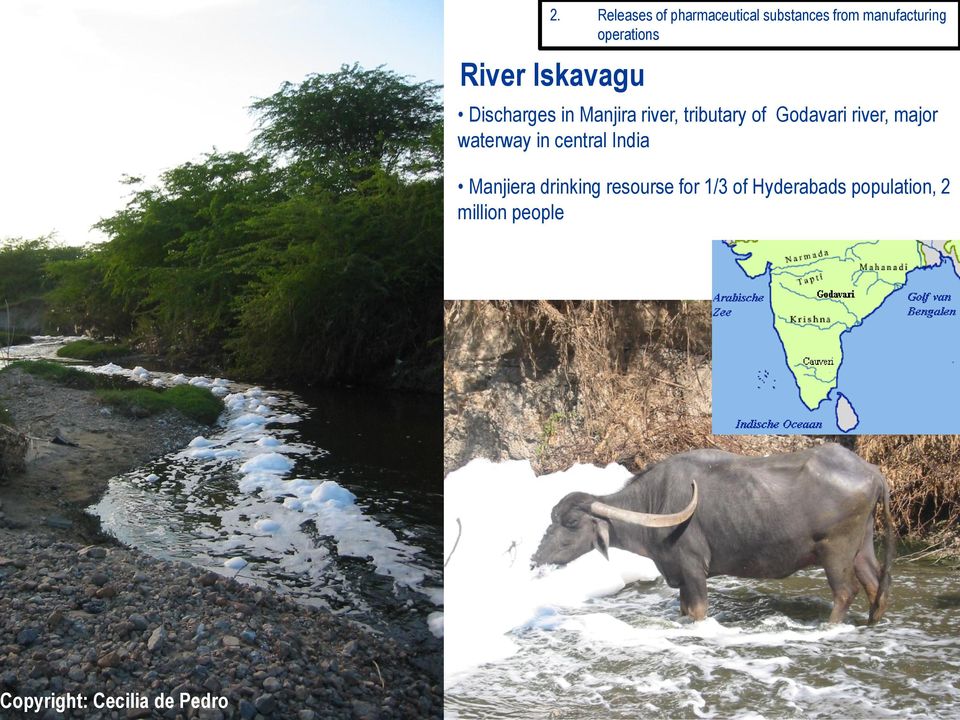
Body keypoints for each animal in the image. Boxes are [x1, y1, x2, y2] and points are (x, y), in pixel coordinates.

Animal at [532, 444, 892, 624]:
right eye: (552, 518)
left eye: (572, 523)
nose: (536, 558)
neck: (656, 503)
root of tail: (872, 472)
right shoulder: (678, 575)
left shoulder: (693, 568)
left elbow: (698, 611)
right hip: (862, 548)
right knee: (877, 587)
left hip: (836, 550)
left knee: (846, 592)